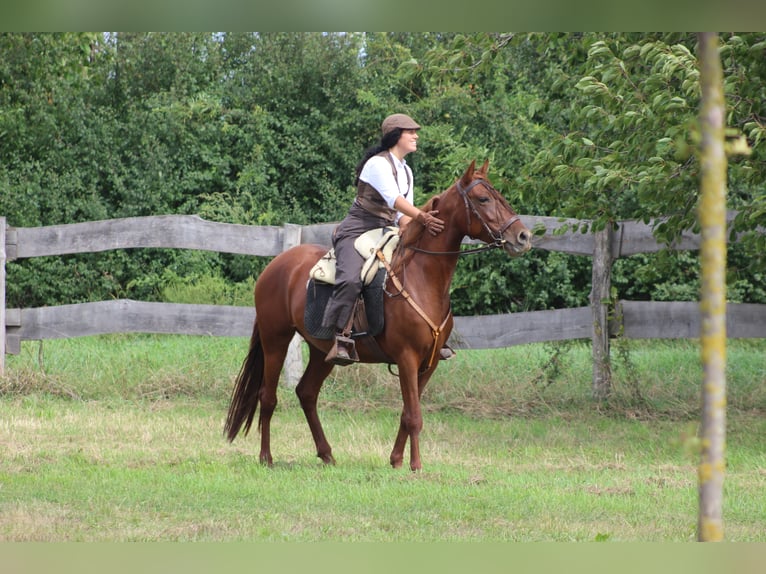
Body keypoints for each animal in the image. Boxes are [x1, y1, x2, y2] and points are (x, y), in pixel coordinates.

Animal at [225, 161, 532, 472]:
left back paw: (326, 454)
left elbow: (407, 413)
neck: (420, 276)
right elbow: (414, 416)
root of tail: (275, 265)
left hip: (322, 351)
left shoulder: (429, 362)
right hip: (275, 339)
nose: (523, 236)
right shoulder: (407, 358)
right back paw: (266, 457)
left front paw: (397, 460)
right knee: (268, 396)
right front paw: (416, 466)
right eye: (483, 199)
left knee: (307, 393)